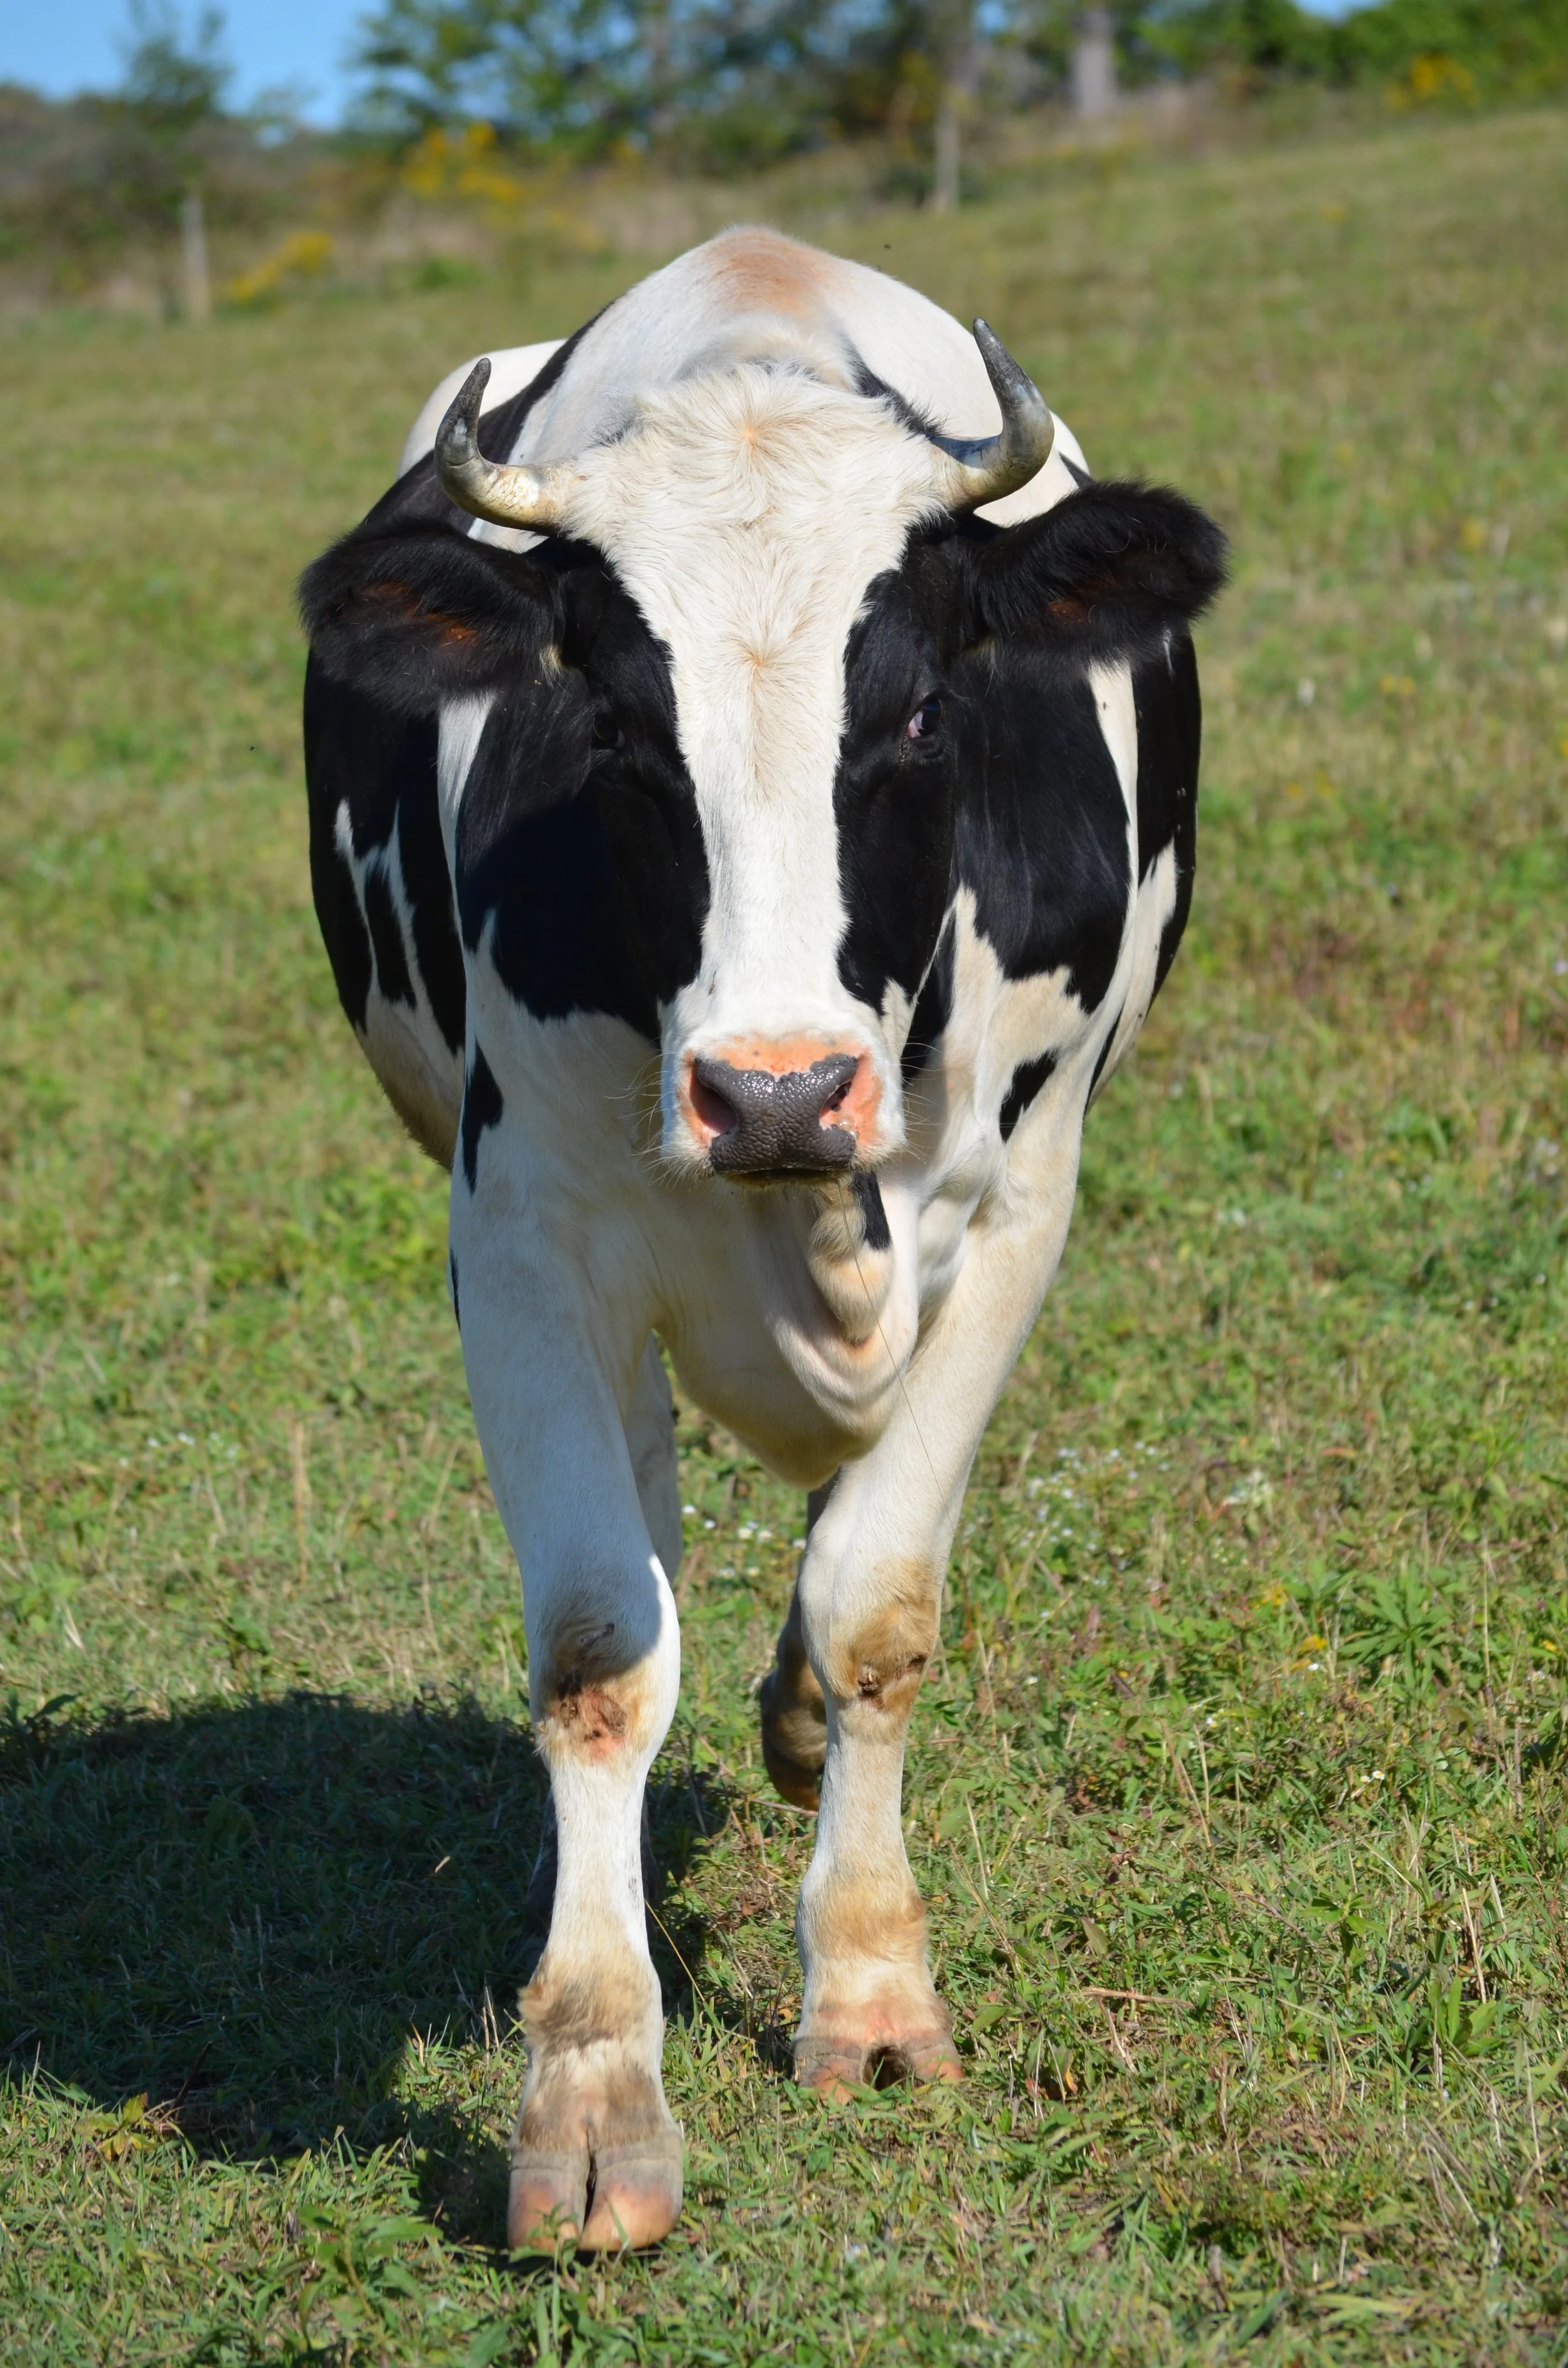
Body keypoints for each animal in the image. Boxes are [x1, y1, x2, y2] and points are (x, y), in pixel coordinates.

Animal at [299, 226, 1225, 2255]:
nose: (775, 1090)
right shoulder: (520, 1233)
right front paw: (590, 2088)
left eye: (916, 713)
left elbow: (877, 1602)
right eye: (622, 731)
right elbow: (594, 1644)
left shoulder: (1021, 1209)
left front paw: (869, 1988)